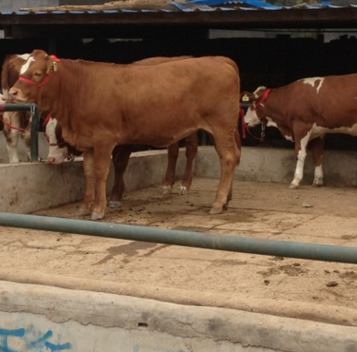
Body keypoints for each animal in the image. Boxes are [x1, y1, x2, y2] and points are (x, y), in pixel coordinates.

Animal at [9, 49, 241, 220]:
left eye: (37, 73)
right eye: (22, 70)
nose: (12, 92)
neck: (82, 88)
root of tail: (220, 59)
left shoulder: (104, 139)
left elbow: (103, 172)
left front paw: (99, 209)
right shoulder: (88, 142)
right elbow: (89, 173)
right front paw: (84, 206)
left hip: (221, 127)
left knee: (228, 158)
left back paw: (217, 203)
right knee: (233, 157)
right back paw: (226, 200)